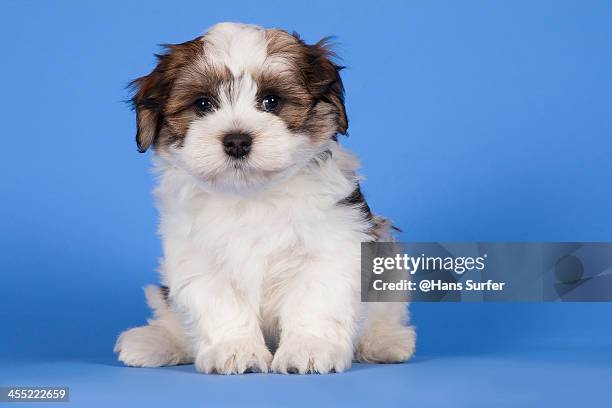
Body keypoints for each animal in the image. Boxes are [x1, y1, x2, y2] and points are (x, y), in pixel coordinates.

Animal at [113, 21, 416, 372]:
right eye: (203, 104)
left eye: (271, 101)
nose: (237, 141)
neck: (250, 195)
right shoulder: (196, 257)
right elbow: (219, 303)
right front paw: (235, 349)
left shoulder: (333, 245)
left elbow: (315, 299)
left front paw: (309, 348)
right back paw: (154, 341)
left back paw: (386, 341)